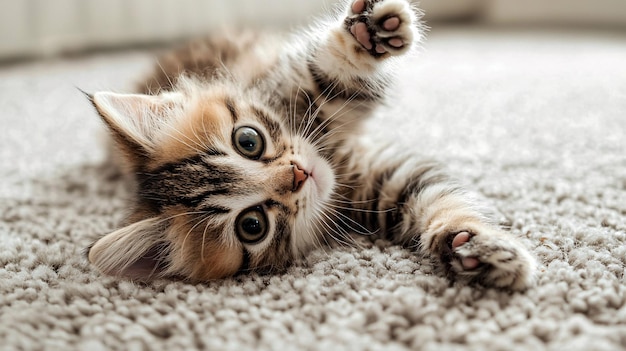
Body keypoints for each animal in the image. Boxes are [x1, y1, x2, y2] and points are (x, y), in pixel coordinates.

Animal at [88, 0, 532, 292]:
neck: (332, 159)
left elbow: (329, 67)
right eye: (252, 226)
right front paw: (470, 249)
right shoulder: (381, 188)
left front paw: (367, 33)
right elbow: (433, 196)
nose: (298, 174)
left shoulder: (294, 84)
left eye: (248, 140)